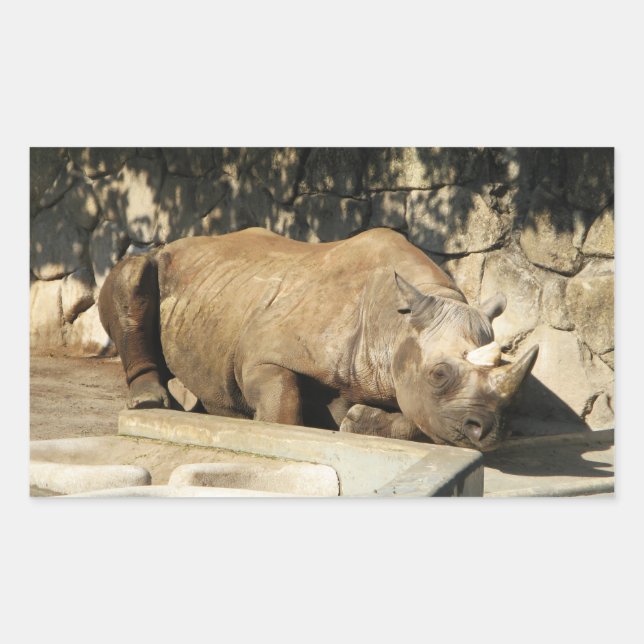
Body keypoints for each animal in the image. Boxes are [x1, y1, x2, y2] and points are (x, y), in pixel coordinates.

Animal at [98, 227, 538, 451]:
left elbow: (422, 420)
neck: (394, 325)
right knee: (134, 272)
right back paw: (151, 402)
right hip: (160, 261)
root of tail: (176, 242)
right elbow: (283, 403)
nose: (490, 431)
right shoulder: (263, 356)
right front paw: (275, 429)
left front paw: (357, 420)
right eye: (439, 375)